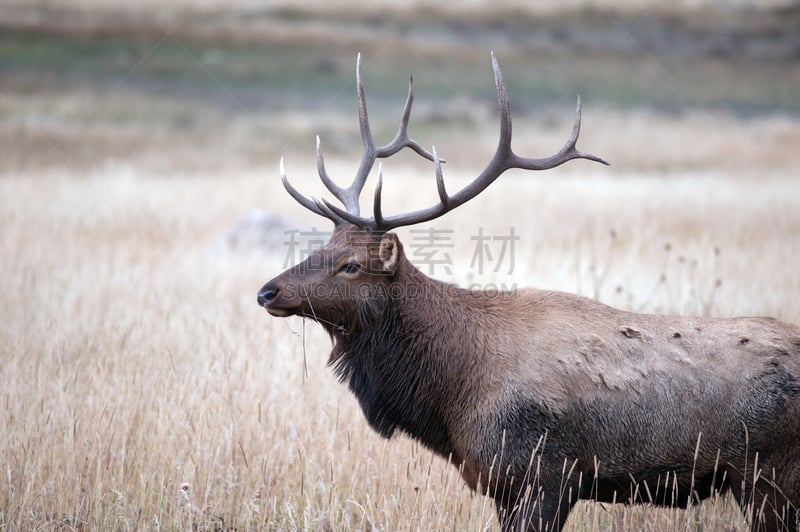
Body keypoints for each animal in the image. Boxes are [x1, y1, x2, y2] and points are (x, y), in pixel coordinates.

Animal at [258, 54, 800, 532]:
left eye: (351, 265)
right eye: (322, 246)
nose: (268, 290)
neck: (451, 392)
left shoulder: (544, 474)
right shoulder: (505, 485)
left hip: (768, 472)